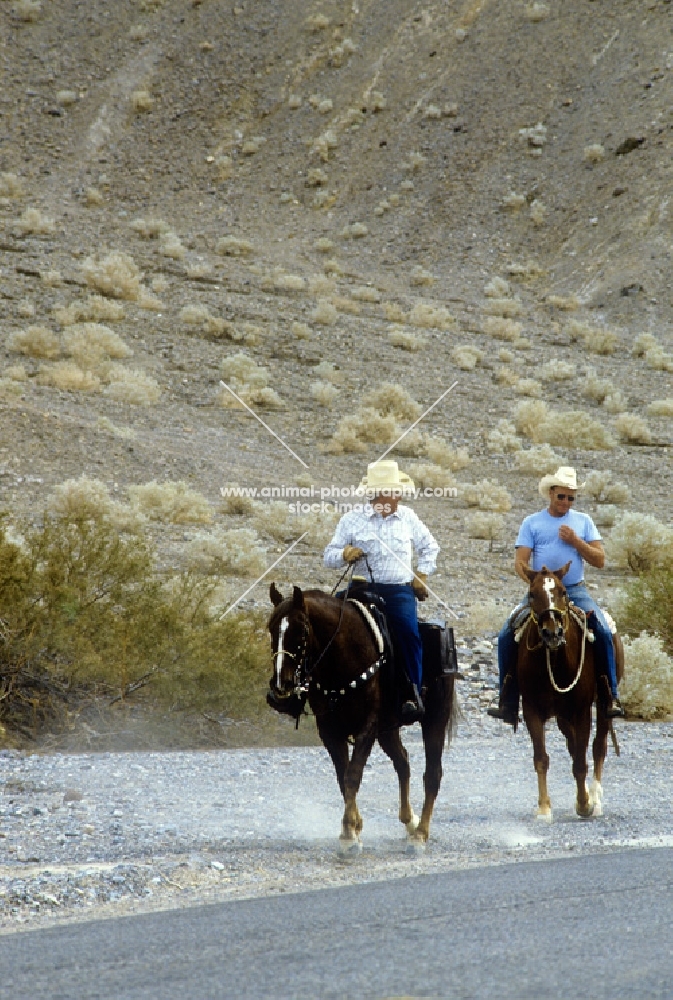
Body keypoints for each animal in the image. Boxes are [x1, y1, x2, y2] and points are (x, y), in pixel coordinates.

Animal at [268, 584, 456, 848]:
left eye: (302, 630)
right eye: (271, 627)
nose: (280, 684)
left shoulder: (367, 726)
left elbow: (352, 775)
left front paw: (349, 833)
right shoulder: (329, 730)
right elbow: (343, 776)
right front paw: (354, 826)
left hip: (435, 719)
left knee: (432, 774)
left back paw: (420, 833)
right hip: (388, 730)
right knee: (403, 763)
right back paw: (409, 821)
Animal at [516, 568, 624, 824]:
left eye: (563, 592)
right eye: (531, 594)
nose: (552, 633)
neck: (555, 661)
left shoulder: (582, 711)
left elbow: (581, 762)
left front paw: (585, 805)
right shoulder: (532, 710)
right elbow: (541, 758)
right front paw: (544, 808)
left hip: (603, 705)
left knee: (598, 747)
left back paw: (595, 799)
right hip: (563, 718)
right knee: (574, 746)